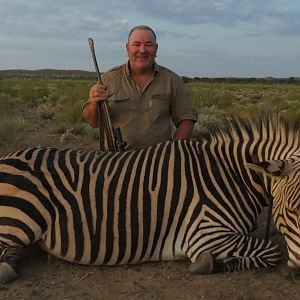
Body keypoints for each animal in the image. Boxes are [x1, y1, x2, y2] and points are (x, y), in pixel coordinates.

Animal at [0, 113, 298, 284]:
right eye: (293, 210)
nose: (297, 274)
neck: (229, 175)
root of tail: (8, 156)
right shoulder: (206, 234)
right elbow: (271, 250)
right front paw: (214, 263)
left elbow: (269, 249)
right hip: (21, 218)